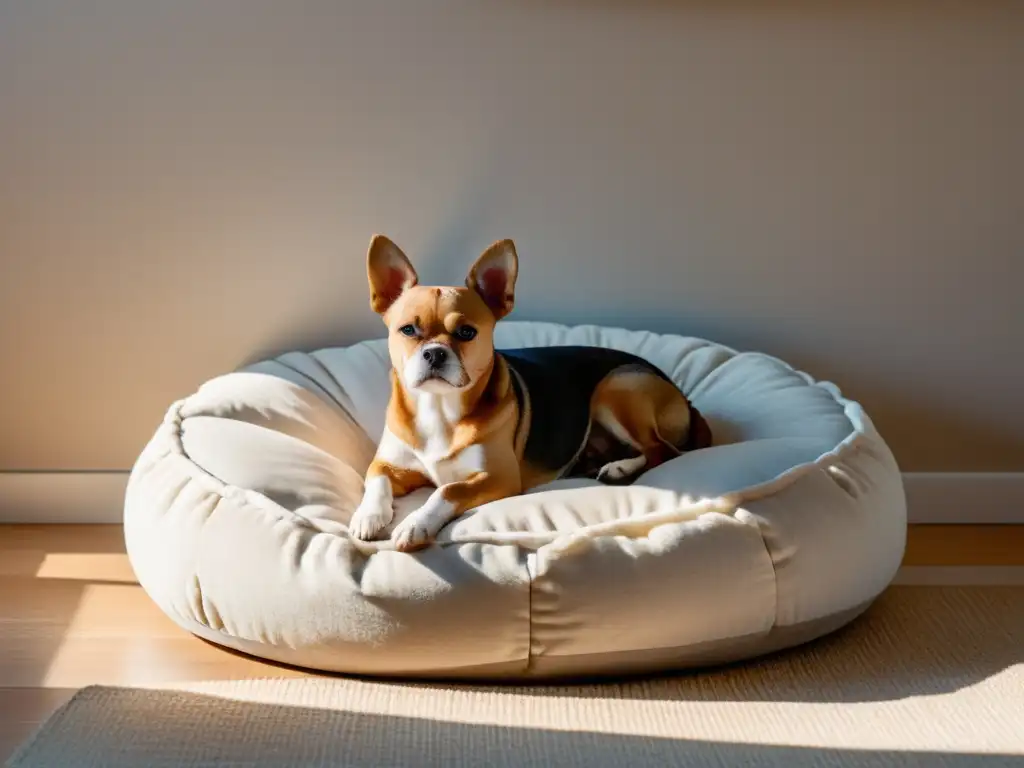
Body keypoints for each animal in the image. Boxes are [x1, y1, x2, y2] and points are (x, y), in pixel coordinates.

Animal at [348, 236, 708, 552]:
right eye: (408, 330)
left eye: (466, 333)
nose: (435, 353)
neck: (438, 408)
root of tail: (682, 396)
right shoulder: (388, 463)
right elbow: (376, 480)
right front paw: (367, 515)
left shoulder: (498, 478)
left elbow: (447, 490)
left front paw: (415, 523)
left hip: (615, 388)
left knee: (663, 450)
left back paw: (621, 468)